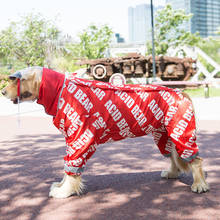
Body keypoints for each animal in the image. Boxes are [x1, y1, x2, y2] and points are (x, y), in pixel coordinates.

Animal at [1, 66, 210, 199]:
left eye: (17, 80)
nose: (2, 92)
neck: (59, 91)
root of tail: (181, 92)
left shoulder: (81, 138)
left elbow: (72, 169)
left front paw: (65, 191)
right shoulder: (72, 140)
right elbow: (67, 167)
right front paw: (61, 186)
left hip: (181, 132)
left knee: (196, 160)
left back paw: (199, 184)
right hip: (163, 135)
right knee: (173, 156)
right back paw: (172, 173)